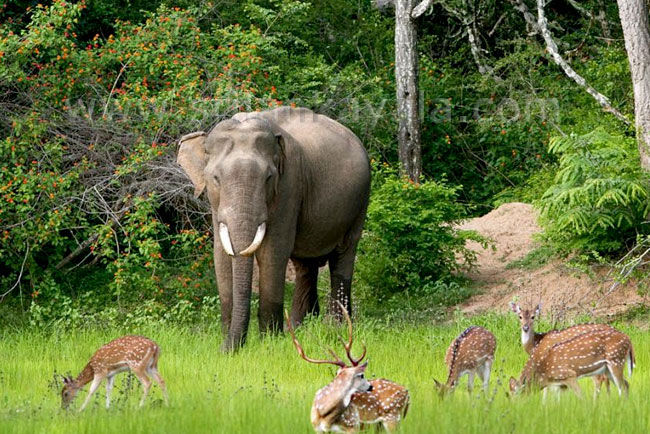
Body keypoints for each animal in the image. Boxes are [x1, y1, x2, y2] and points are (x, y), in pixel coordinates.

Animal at [177, 107, 371, 351]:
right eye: (216, 178)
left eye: (268, 178)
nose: (226, 349)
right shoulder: (215, 204)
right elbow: (221, 255)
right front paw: (227, 340)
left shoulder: (289, 187)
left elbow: (273, 252)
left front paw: (269, 341)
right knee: (305, 265)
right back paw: (299, 328)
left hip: (360, 201)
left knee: (343, 255)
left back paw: (335, 328)